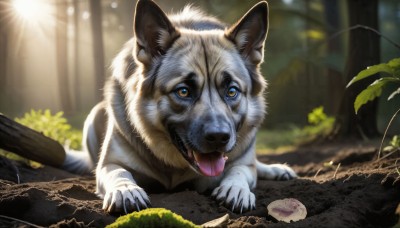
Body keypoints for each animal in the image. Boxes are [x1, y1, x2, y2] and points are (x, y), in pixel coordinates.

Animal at [62, 0, 296, 214]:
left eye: (232, 91)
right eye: (183, 91)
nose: (219, 137)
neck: (175, 168)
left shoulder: (242, 163)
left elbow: (240, 170)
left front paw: (236, 189)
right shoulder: (109, 165)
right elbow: (119, 172)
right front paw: (125, 190)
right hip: (93, 118)